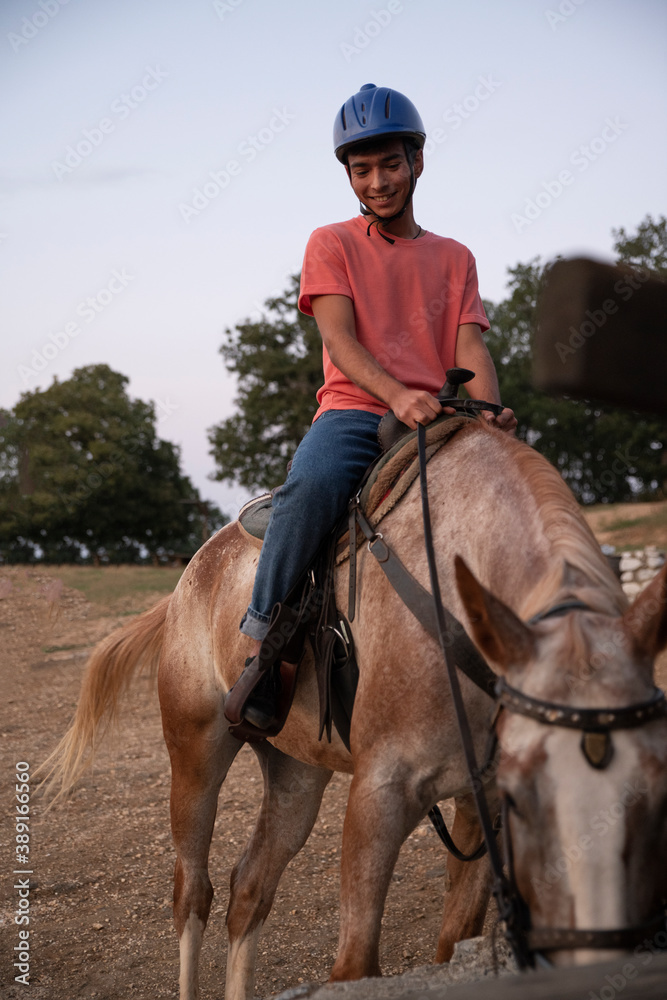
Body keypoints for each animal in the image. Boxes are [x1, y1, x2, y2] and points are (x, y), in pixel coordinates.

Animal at [41, 417, 667, 999]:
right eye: (525, 795)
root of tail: (190, 577)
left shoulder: (478, 800)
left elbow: (450, 945)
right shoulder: (382, 789)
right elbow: (355, 968)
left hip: (297, 772)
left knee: (249, 889)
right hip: (196, 752)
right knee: (192, 893)